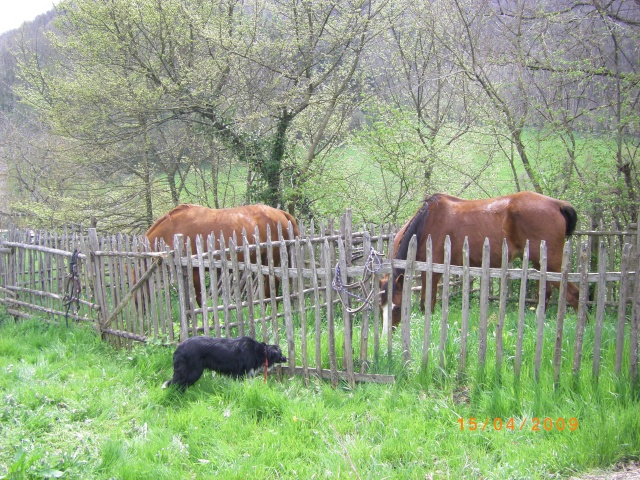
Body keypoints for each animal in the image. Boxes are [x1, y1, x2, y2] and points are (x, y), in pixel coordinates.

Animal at [380, 190, 580, 334]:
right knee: (545, 294)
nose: (386, 336)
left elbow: (426, 304)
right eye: (380, 308)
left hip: (553, 265)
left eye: (397, 309)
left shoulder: (432, 271)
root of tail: (558, 204)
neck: (426, 223)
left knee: (573, 295)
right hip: (541, 265)